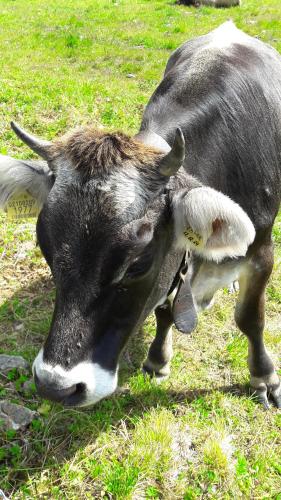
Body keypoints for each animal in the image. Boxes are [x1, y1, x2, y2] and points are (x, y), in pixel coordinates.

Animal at [0, 21, 278, 408]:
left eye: (136, 264)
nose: (56, 386)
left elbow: (251, 319)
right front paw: (158, 359)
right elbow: (164, 309)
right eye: (46, 249)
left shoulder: (262, 250)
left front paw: (264, 377)